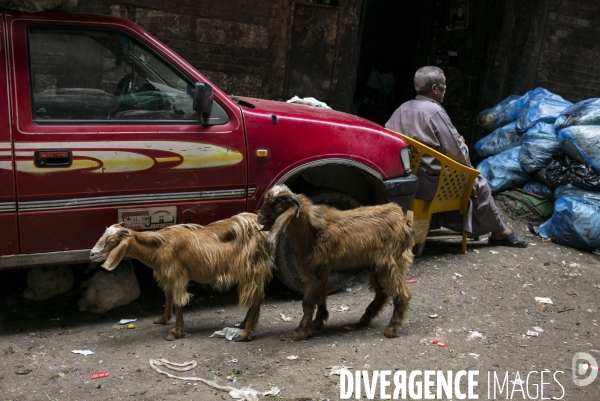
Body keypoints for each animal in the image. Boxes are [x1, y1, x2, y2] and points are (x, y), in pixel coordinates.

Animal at [89, 212, 274, 340]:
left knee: (256, 298)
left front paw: (175, 331)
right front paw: (163, 319)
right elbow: (168, 296)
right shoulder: (168, 276)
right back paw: (243, 325)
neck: (158, 247)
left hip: (251, 268)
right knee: (258, 297)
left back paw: (245, 334)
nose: (92, 254)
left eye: (111, 240)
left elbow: (178, 301)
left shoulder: (177, 274)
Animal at [255, 184, 414, 338]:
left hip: (391, 264)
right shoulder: (322, 272)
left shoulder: (316, 272)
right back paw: (366, 318)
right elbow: (321, 296)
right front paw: (318, 321)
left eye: (278, 203)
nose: (259, 218)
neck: (315, 233)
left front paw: (301, 331)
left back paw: (392, 328)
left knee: (402, 294)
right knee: (382, 293)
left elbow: (308, 302)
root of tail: (403, 220)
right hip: (377, 267)